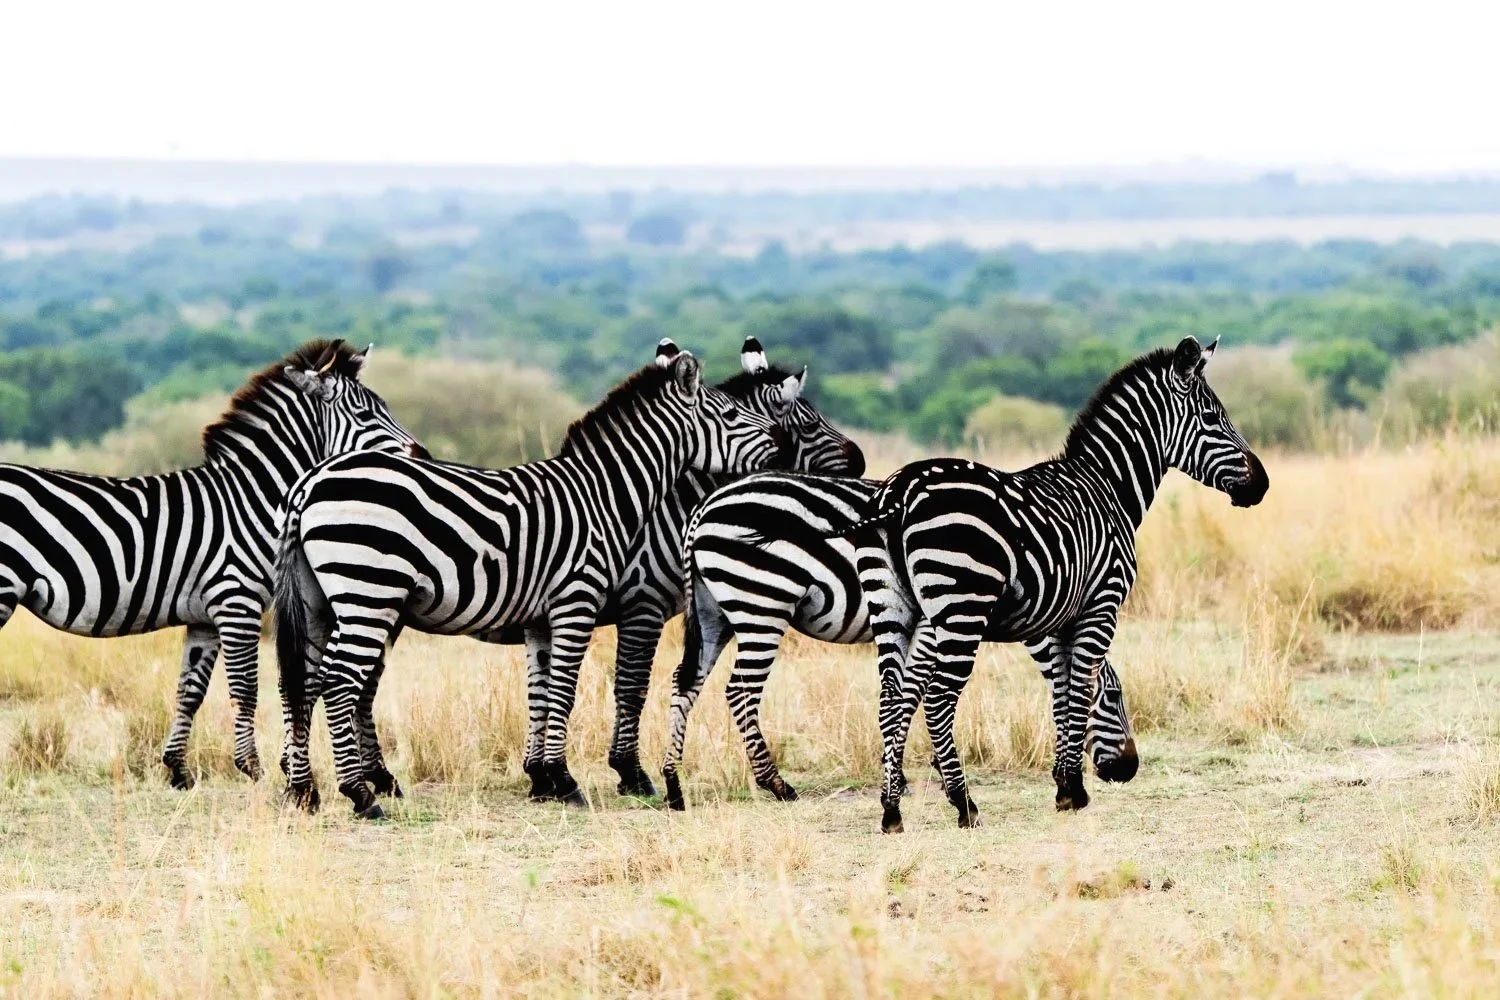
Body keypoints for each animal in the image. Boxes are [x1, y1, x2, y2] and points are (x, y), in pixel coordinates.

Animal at [0, 339, 426, 787]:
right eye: (365, 414)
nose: (423, 455)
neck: (252, 500)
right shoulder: (237, 602)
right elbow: (246, 688)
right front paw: (252, 768)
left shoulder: (203, 616)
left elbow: (190, 691)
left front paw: (177, 769)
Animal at [304, 336, 865, 801]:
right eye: (808, 422)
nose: (861, 461)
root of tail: (315, 481)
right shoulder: (630, 604)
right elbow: (621, 687)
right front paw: (621, 775)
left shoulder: (544, 615)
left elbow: (543, 689)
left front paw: (541, 778)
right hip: (371, 596)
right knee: (344, 680)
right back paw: (361, 789)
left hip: (353, 603)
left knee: (334, 678)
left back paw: (348, 782)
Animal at [659, 471, 1137, 811]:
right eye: (1113, 698)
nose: (1129, 769)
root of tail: (704, 506)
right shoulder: (934, 624)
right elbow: (917, 692)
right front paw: (928, 777)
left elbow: (908, 692)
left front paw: (906, 776)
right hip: (761, 605)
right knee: (739, 691)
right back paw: (776, 785)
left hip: (716, 613)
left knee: (687, 682)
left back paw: (674, 786)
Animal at [828, 336, 1268, 832]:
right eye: (1213, 417)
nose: (1262, 484)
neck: (1109, 488)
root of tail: (899, 491)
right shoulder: (1102, 604)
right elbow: (1080, 688)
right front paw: (1074, 790)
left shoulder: (1058, 619)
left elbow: (1060, 692)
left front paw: (1063, 785)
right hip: (961, 610)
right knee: (939, 700)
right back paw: (965, 805)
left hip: (897, 610)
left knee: (891, 701)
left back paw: (891, 811)